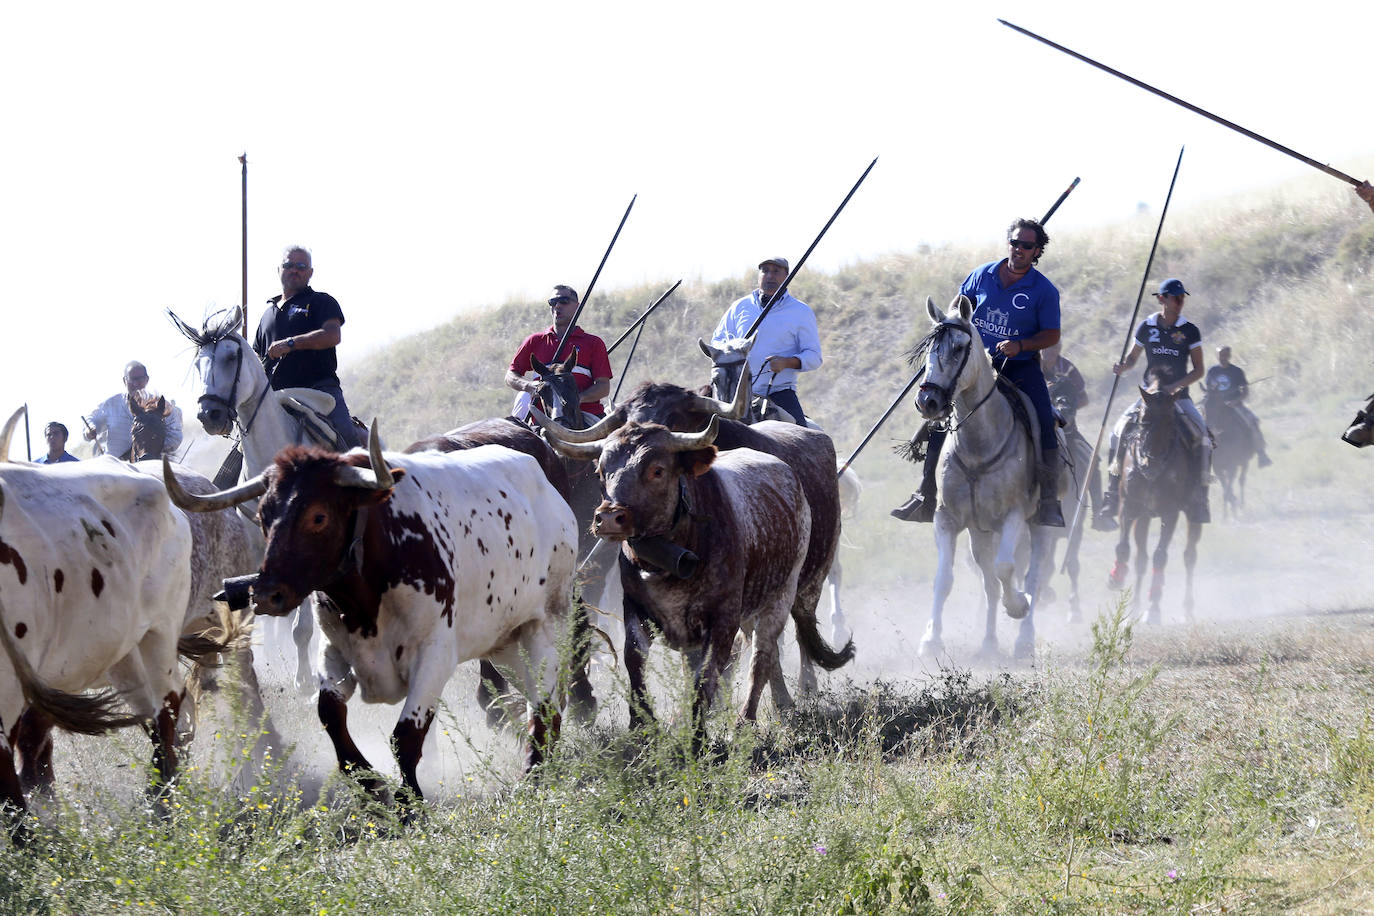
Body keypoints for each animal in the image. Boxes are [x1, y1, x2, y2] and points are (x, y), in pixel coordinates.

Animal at [163, 425, 577, 807]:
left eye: (318, 516)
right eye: (264, 516)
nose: (266, 593)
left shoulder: (434, 656)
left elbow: (405, 737)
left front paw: (411, 806)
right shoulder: (335, 650)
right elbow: (330, 714)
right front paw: (372, 784)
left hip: (545, 627)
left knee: (546, 704)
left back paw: (534, 775)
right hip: (504, 642)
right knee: (540, 701)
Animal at [906, 298, 1044, 661]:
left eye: (958, 348)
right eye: (930, 348)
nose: (928, 401)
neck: (979, 447)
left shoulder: (1013, 516)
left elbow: (1007, 568)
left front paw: (1018, 605)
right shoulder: (947, 519)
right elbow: (944, 579)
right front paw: (931, 640)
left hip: (1041, 529)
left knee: (1033, 575)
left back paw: (1025, 638)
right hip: (980, 533)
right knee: (989, 585)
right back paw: (989, 643)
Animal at [1104, 373, 1203, 623]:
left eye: (1169, 421)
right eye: (1143, 419)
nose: (1150, 465)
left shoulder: (1171, 512)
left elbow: (1160, 555)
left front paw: (1154, 608)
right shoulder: (1129, 506)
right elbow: (1124, 547)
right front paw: (1116, 578)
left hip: (1191, 516)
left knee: (1189, 556)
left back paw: (1188, 608)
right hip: (1144, 516)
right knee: (1141, 558)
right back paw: (1135, 606)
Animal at [1203, 392, 1258, 521]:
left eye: (1219, 405)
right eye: (1205, 405)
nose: (1211, 427)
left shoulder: (1233, 466)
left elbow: (1228, 490)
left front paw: (1232, 510)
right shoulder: (1218, 468)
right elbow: (1226, 489)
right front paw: (1227, 515)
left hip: (1244, 463)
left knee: (1241, 480)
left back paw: (1242, 505)